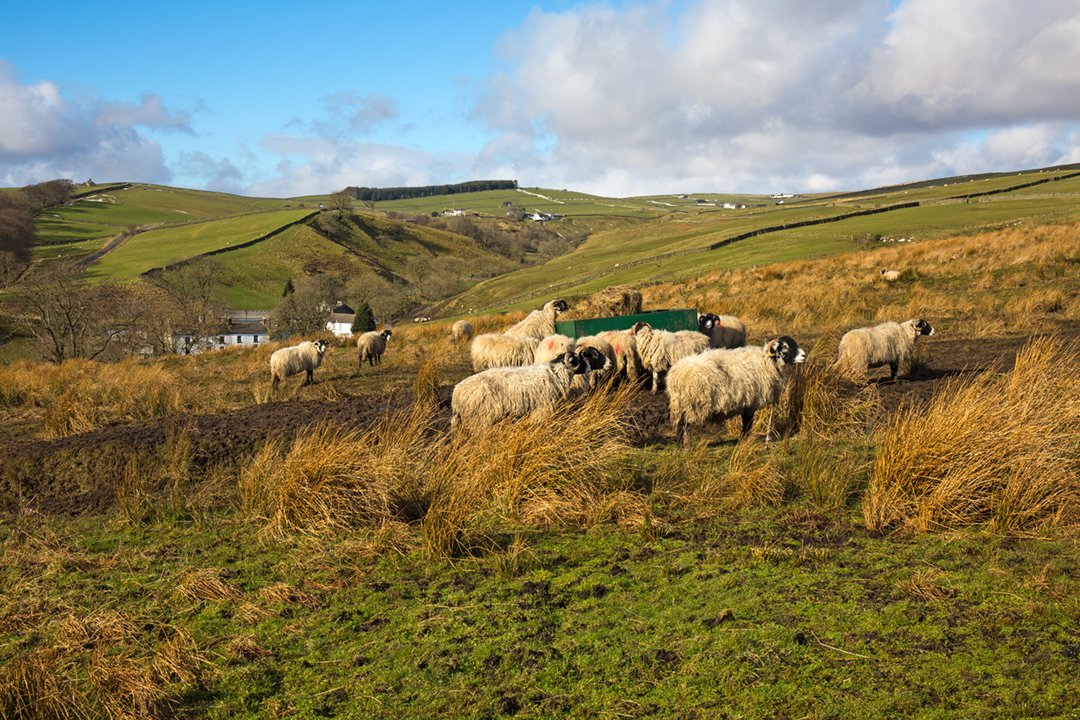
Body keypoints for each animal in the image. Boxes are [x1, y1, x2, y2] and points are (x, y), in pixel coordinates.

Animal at [451, 351, 587, 430]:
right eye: (578, 360)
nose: (589, 368)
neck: (556, 373)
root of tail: (456, 394)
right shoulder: (542, 407)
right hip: (480, 418)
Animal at [667, 336, 806, 445]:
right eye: (785, 347)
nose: (804, 355)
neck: (767, 361)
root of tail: (675, 375)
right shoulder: (751, 402)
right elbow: (748, 424)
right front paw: (745, 440)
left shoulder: (746, 403)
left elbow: (746, 423)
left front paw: (744, 440)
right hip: (690, 404)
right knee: (682, 425)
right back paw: (683, 446)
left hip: (682, 404)